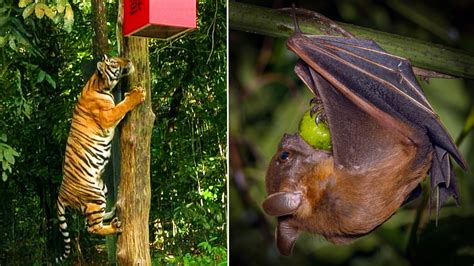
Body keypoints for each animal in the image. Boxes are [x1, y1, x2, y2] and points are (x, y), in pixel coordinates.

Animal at [55, 54, 145, 262]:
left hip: (101, 188)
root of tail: (61, 193)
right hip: (94, 196)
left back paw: (113, 211)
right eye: (114, 62)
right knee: (91, 227)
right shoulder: (108, 116)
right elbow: (123, 106)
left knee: (95, 218)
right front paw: (137, 94)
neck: (99, 84)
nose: (127, 60)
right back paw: (114, 226)